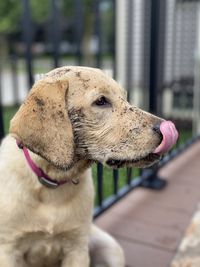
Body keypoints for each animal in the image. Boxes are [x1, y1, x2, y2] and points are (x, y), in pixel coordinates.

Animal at [0, 65, 178, 267]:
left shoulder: (77, 248)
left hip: (111, 249)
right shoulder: (8, 251)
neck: (51, 183)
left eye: (125, 97)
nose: (167, 128)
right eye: (101, 101)